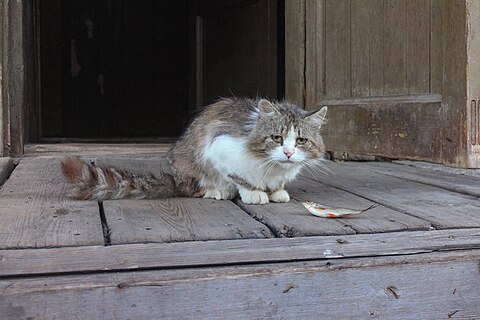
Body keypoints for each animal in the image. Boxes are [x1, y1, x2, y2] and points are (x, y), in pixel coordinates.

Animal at [61, 96, 326, 204]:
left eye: (301, 141)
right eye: (277, 138)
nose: (288, 153)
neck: (272, 169)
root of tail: (175, 178)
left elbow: (276, 185)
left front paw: (276, 192)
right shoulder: (219, 149)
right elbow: (241, 178)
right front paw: (255, 194)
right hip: (191, 169)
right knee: (193, 189)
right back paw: (217, 192)